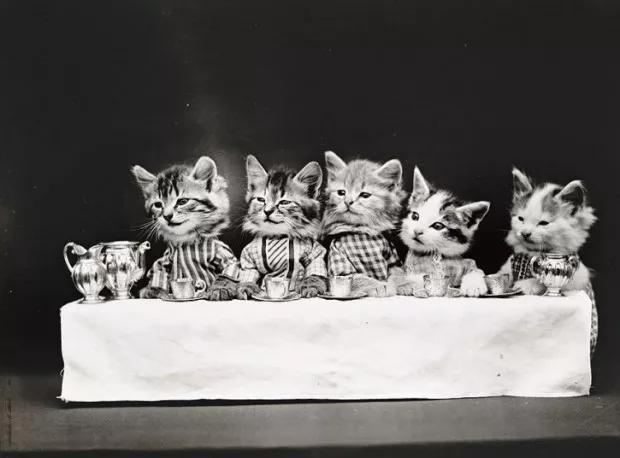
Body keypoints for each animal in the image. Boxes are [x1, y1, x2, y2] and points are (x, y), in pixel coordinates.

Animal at [131, 156, 239, 300]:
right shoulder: (166, 259)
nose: (167, 216)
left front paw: (221, 288)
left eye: (182, 202)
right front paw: (153, 290)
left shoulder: (220, 252)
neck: (185, 240)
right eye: (158, 205)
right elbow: (158, 270)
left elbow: (229, 268)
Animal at [236, 155, 328, 299]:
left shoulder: (314, 252)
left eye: (284, 202)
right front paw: (246, 286)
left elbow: (314, 270)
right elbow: (248, 272)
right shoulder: (249, 256)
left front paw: (311, 285)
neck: (277, 237)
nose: (267, 211)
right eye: (261, 200)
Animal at [321, 151, 405, 297]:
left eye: (365, 195)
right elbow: (361, 278)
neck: (361, 231)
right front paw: (380, 286)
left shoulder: (393, 259)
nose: (348, 202)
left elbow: (398, 274)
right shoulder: (339, 262)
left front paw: (403, 284)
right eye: (341, 192)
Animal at [397, 167, 490, 297]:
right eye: (415, 216)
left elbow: (476, 269)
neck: (433, 255)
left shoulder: (462, 263)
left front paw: (473, 285)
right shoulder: (407, 268)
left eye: (437, 226)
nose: (417, 231)